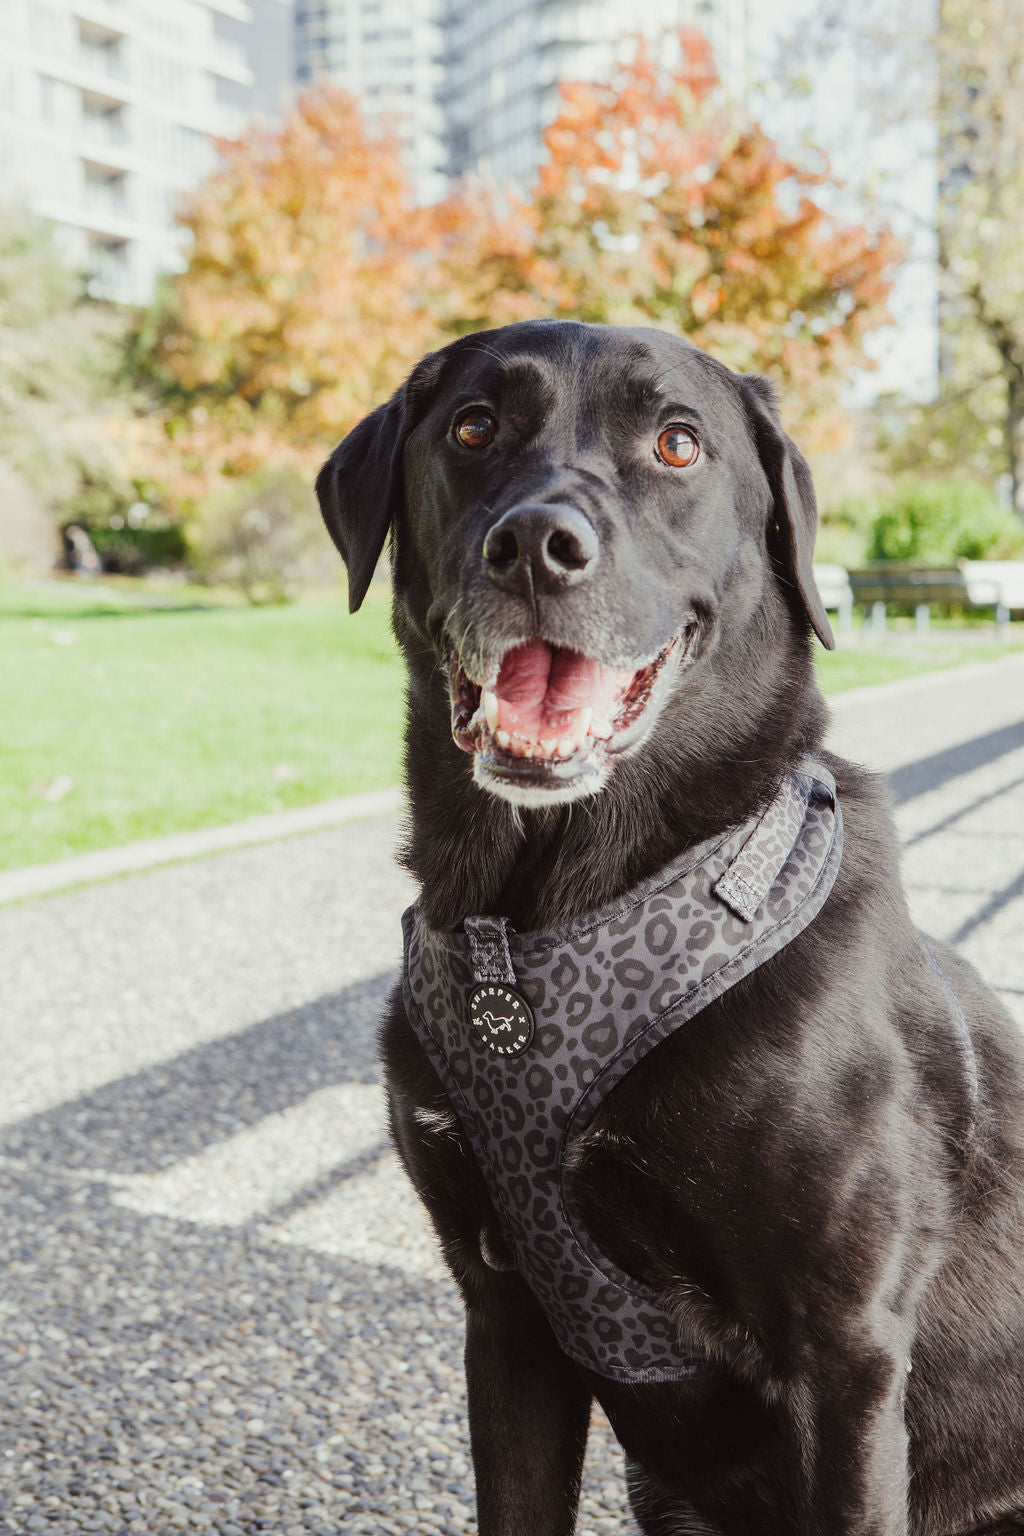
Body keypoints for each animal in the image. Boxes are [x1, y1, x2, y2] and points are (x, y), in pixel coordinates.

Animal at [317, 314, 1024, 1536]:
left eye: (679, 445)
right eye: (472, 426)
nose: (535, 546)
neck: (541, 919)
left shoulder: (845, 1355)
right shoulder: (502, 1320)